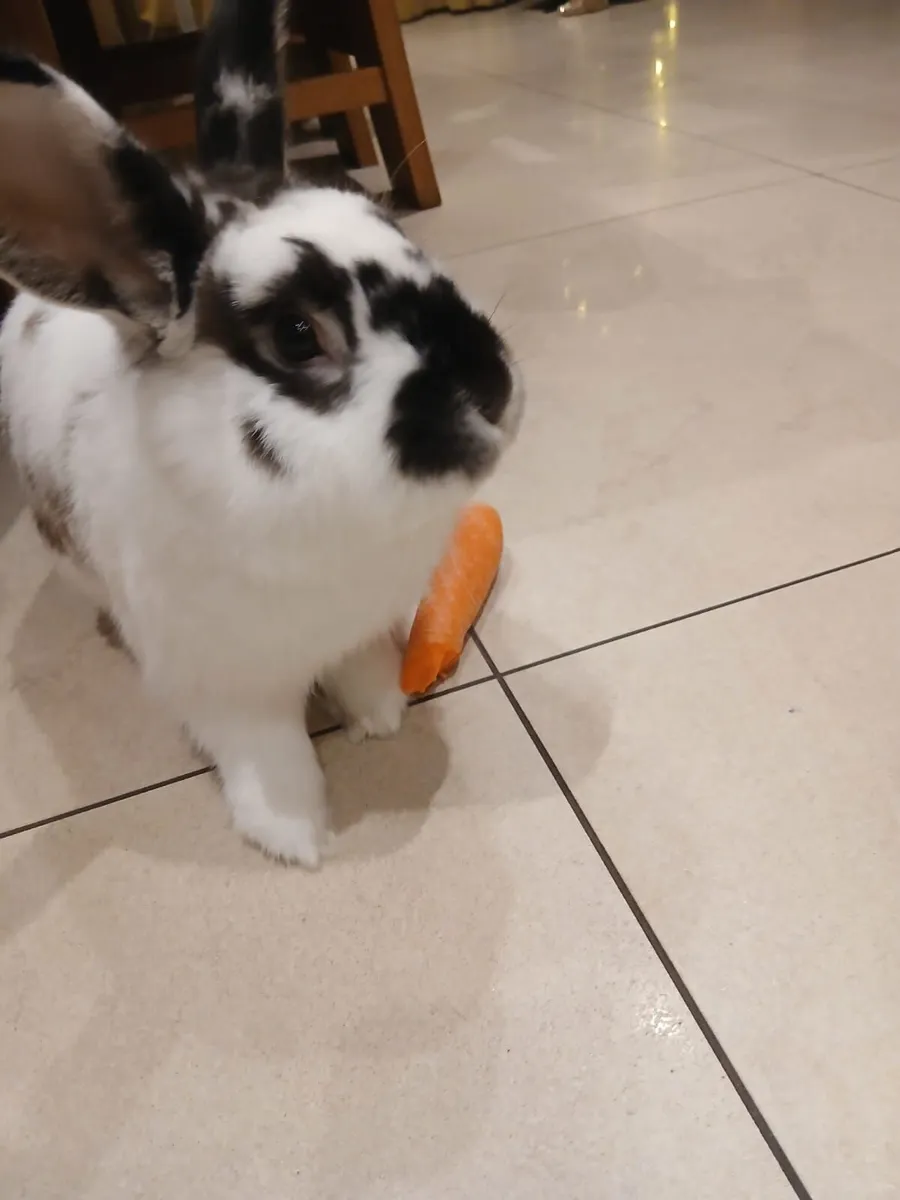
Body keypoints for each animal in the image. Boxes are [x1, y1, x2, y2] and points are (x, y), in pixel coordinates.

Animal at [0, 0, 522, 868]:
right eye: (297, 336)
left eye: (409, 242)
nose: (496, 391)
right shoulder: (226, 688)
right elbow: (268, 755)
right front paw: (294, 836)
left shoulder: (355, 630)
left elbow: (362, 670)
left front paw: (381, 717)